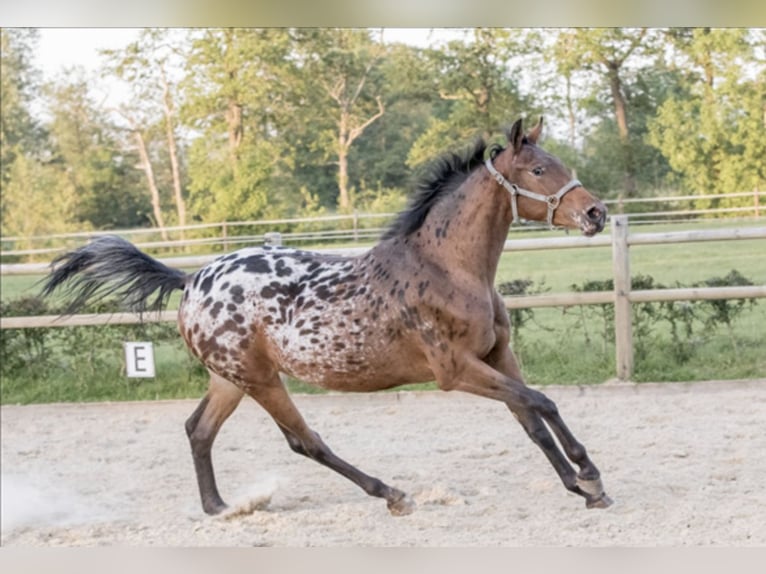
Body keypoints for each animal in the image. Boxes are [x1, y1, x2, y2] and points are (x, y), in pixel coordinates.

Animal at [45, 117, 616, 516]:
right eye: (539, 170)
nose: (596, 213)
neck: (448, 267)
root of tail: (191, 281)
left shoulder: (498, 355)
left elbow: (533, 417)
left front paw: (584, 488)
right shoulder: (456, 371)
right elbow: (539, 401)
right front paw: (588, 474)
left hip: (230, 378)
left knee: (198, 430)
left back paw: (219, 507)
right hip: (260, 380)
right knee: (304, 440)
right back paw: (392, 494)